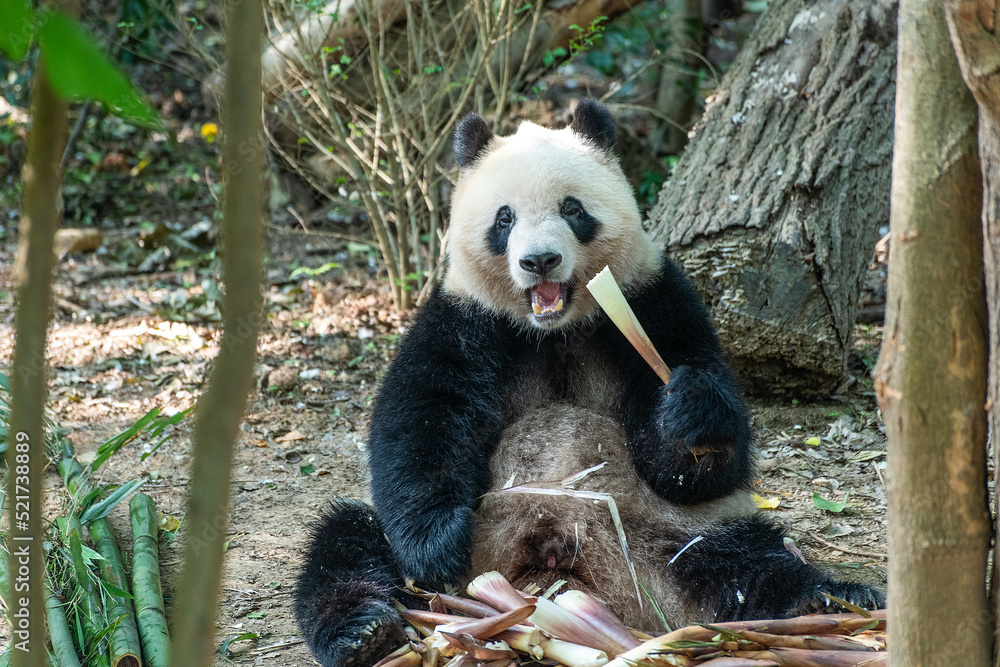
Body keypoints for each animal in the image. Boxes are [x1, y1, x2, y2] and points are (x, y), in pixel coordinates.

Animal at [292, 100, 884, 667]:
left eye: (572, 209)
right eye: (504, 218)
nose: (540, 260)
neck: (552, 329)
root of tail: (554, 558)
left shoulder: (654, 302)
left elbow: (696, 465)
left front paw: (692, 415)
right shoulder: (463, 321)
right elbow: (420, 422)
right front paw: (438, 541)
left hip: (668, 534)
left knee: (746, 562)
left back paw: (831, 602)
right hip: (452, 570)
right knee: (347, 544)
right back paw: (363, 632)